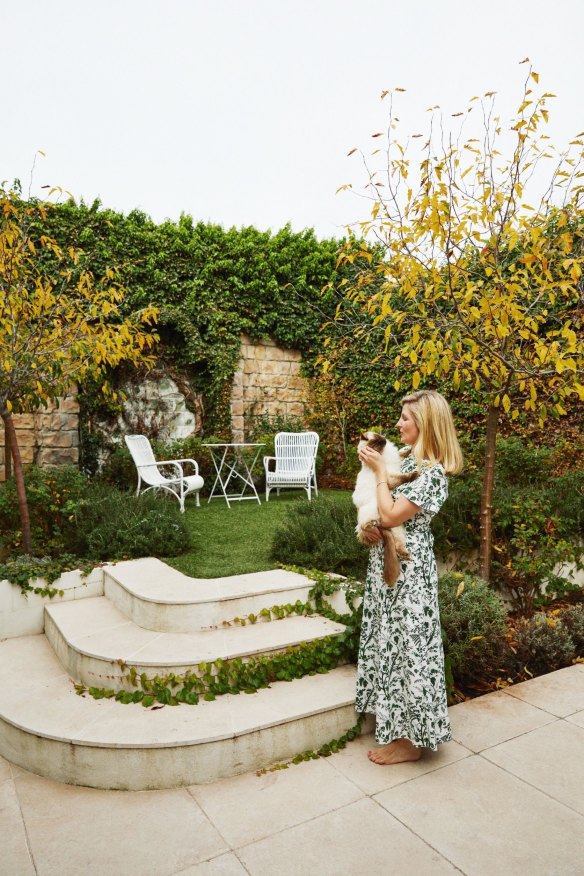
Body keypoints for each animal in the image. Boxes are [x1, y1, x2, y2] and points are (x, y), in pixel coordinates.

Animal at [354, 432, 418, 588]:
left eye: (381, 437)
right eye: (377, 441)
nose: (384, 440)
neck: (383, 455)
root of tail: (382, 526)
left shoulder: (397, 460)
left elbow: (403, 452)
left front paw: (410, 449)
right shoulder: (389, 478)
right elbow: (404, 477)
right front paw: (415, 474)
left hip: (397, 527)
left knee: (398, 545)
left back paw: (405, 554)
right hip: (372, 512)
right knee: (363, 527)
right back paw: (371, 524)